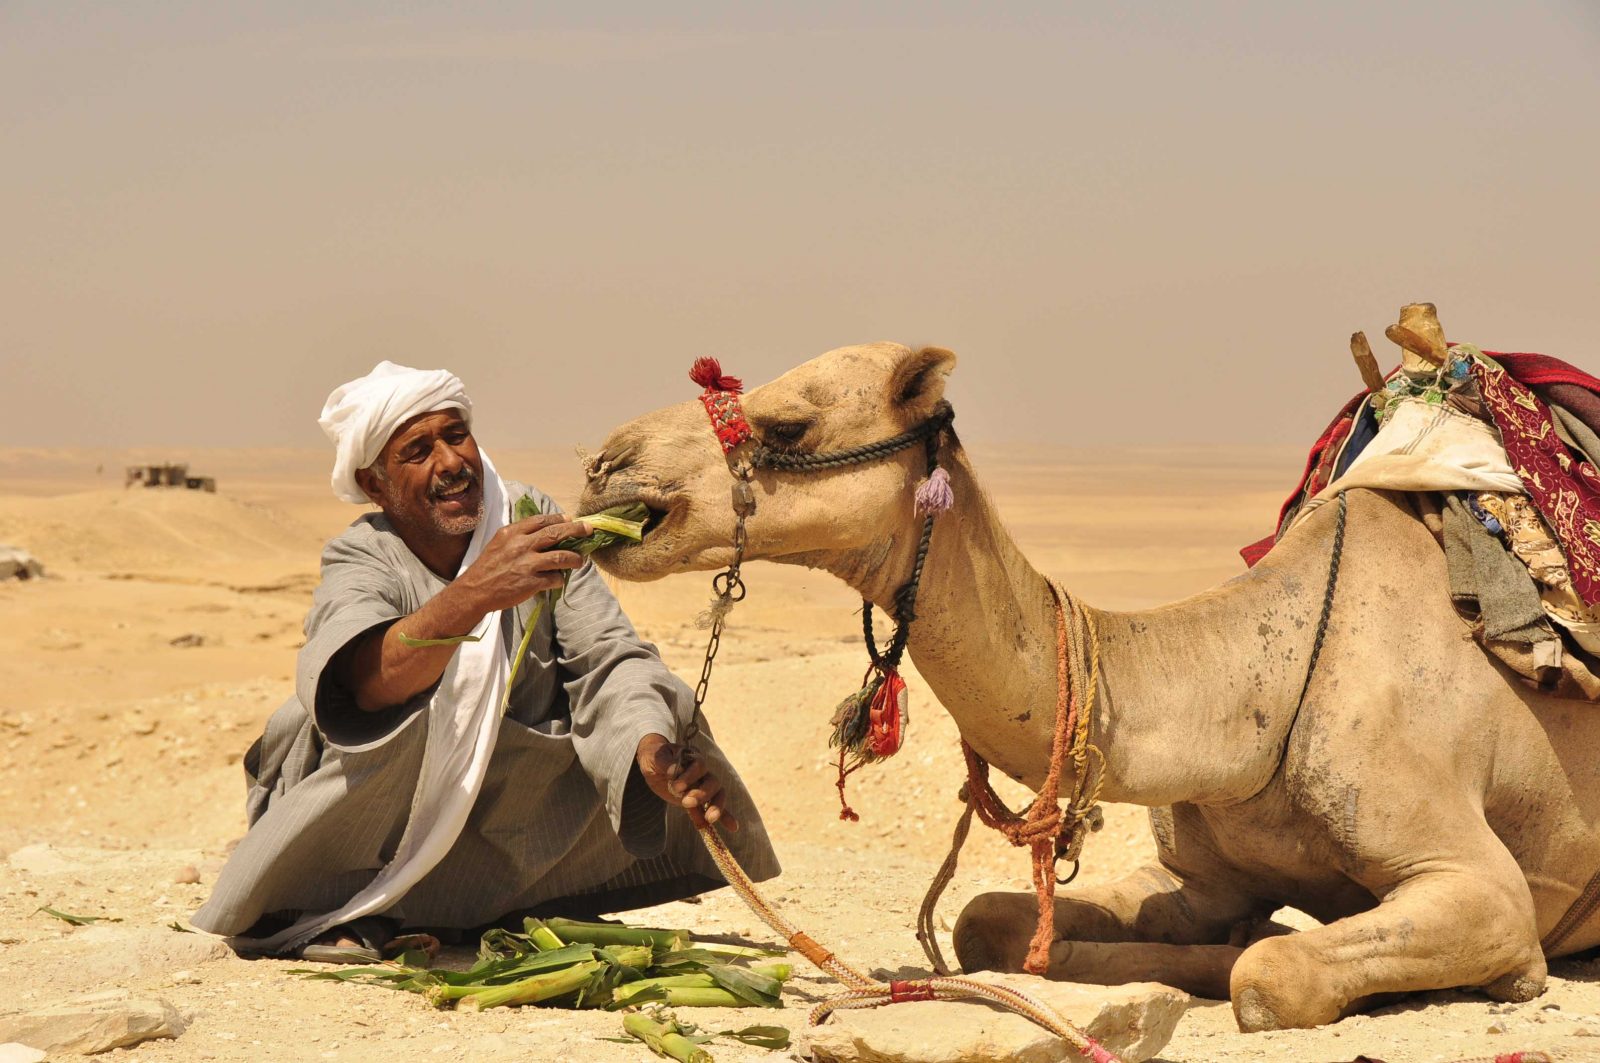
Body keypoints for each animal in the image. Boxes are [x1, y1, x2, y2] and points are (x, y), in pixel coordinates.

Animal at [576, 341, 1600, 1032]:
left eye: (789, 423)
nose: (604, 465)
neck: (1257, 688)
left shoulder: (1476, 880)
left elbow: (1269, 976)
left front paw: (1508, 976)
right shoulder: (1195, 872)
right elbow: (989, 921)